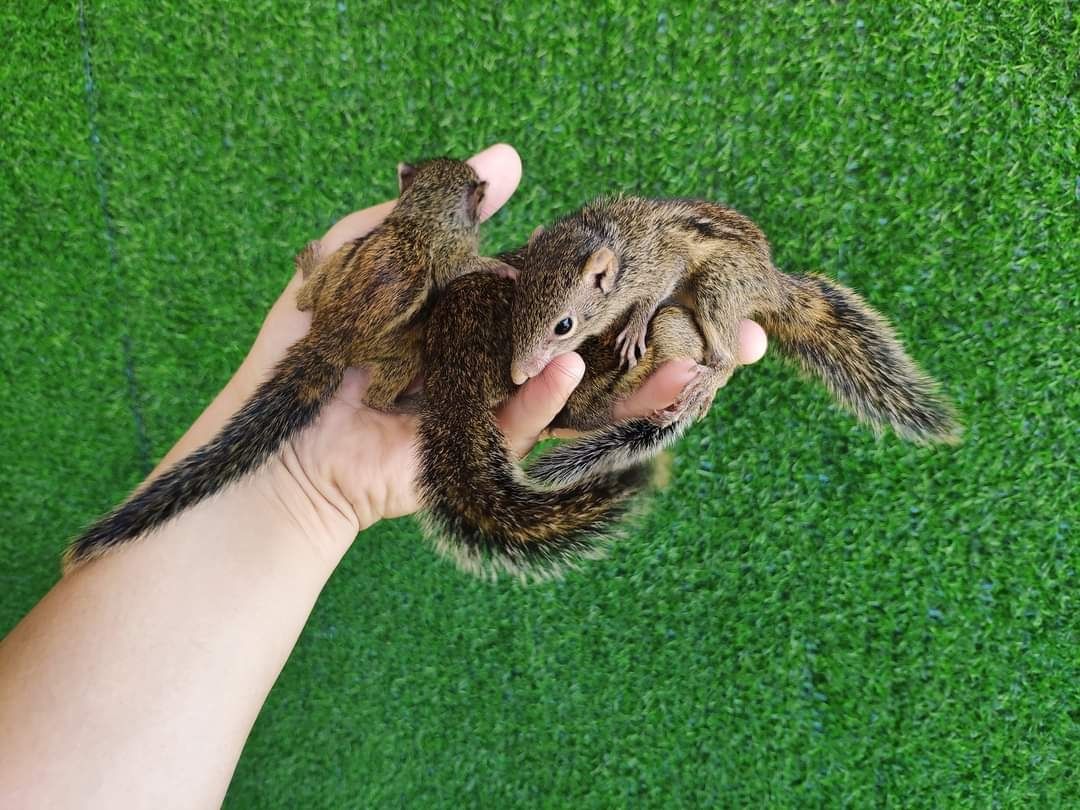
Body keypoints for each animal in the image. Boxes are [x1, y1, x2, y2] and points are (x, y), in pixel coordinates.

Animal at [64, 157, 501, 571]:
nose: (484, 186)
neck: (423, 212)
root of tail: (329, 339)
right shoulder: (452, 252)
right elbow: (460, 266)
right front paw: (497, 266)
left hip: (339, 263)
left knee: (305, 301)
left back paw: (308, 274)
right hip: (397, 351)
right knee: (377, 395)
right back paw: (402, 403)